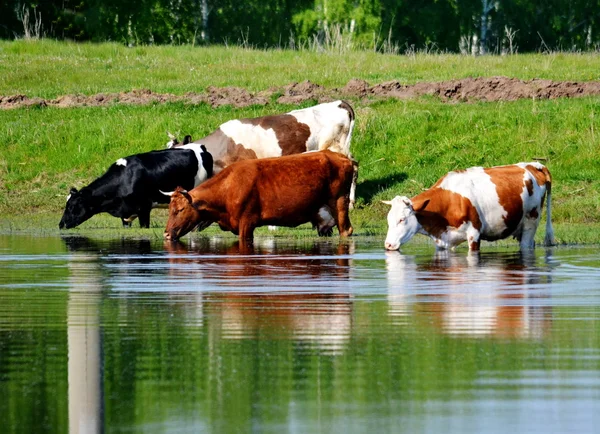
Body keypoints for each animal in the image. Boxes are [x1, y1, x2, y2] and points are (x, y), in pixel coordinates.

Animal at [162, 151, 354, 242]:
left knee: (346, 230)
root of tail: (341, 157)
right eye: (169, 209)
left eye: (179, 210)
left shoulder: (247, 223)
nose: (166, 234)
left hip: (339, 202)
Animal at [382, 162, 556, 251]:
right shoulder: (444, 240)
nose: (387, 244)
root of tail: (533, 165)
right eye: (388, 220)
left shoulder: (474, 234)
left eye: (402, 219)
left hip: (531, 222)